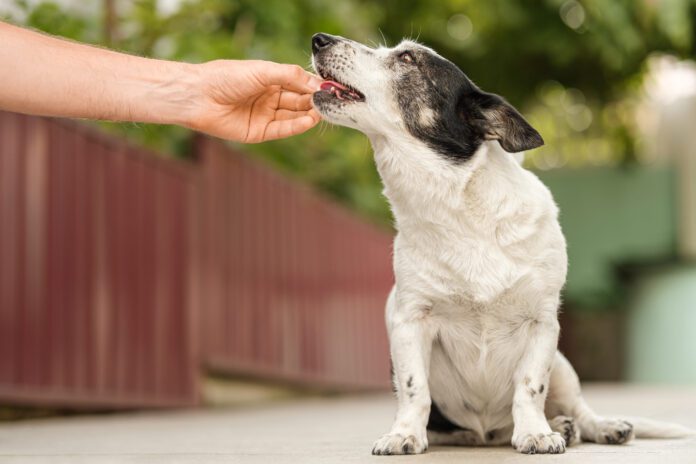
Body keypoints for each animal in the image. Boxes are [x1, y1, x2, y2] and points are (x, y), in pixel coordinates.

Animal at [312, 33, 692, 456]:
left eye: (408, 58)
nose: (319, 39)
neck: (457, 209)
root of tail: (488, 432)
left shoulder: (542, 324)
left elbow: (530, 387)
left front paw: (536, 433)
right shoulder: (411, 321)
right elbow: (414, 390)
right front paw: (404, 434)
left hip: (563, 365)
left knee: (579, 409)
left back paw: (590, 426)